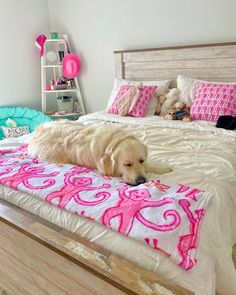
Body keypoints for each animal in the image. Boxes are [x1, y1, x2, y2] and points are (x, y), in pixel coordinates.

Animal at [28, 119, 171, 185]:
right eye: (126, 165)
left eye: (141, 160)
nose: (141, 180)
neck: (112, 144)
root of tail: (38, 129)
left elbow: (149, 165)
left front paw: (162, 168)